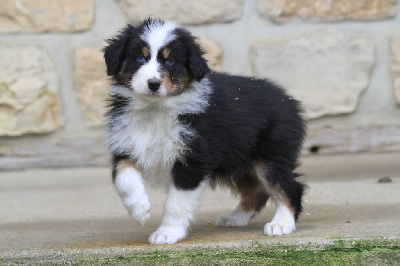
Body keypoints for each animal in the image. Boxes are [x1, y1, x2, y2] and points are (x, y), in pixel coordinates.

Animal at [103, 17, 306, 244]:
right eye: (140, 58)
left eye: (170, 61)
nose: (153, 83)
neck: (155, 109)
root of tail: (289, 101)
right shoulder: (126, 144)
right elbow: (123, 177)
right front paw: (140, 210)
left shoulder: (193, 158)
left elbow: (176, 201)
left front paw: (167, 232)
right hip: (240, 161)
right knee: (256, 193)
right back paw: (235, 217)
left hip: (270, 155)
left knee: (288, 187)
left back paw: (281, 224)